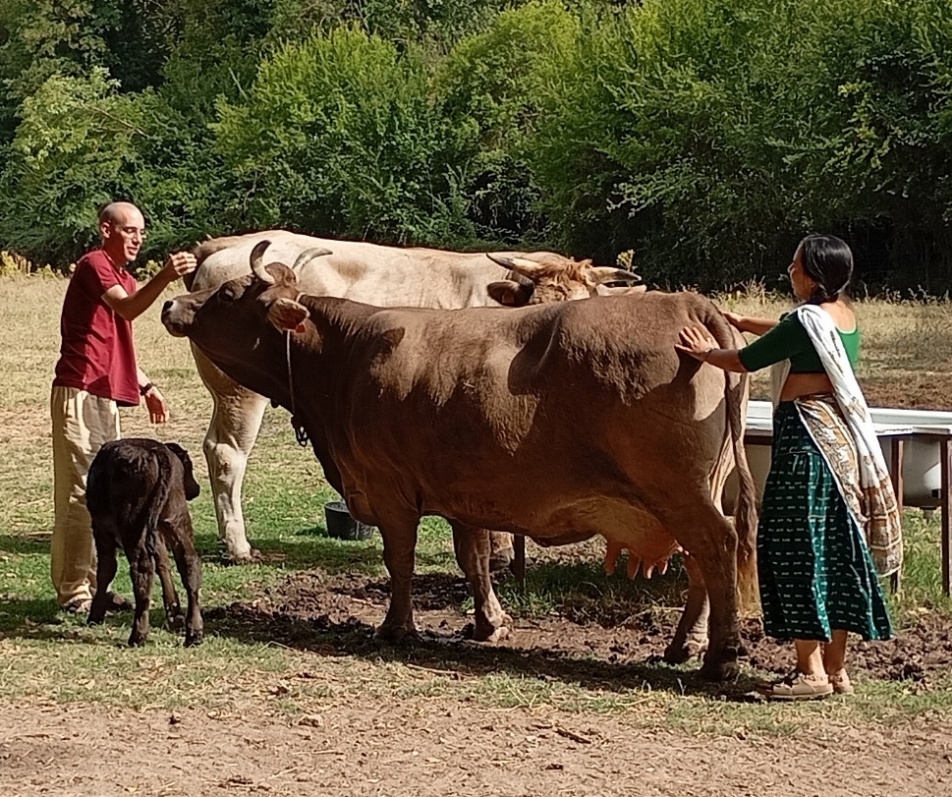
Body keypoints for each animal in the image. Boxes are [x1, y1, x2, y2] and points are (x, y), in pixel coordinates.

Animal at [86, 439, 204, 647]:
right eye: (189, 467)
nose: (196, 489)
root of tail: (155, 450)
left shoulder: (101, 529)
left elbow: (106, 570)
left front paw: (96, 615)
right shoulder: (155, 531)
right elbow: (163, 562)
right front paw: (174, 612)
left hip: (132, 524)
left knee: (143, 568)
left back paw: (138, 635)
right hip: (176, 518)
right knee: (189, 562)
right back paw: (194, 633)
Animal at [186, 231, 640, 563]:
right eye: (538, 306)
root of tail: (225, 245)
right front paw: (498, 550)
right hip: (239, 389)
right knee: (227, 454)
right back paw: (239, 546)